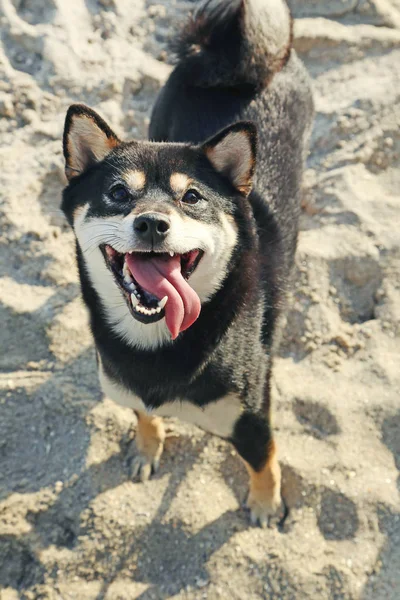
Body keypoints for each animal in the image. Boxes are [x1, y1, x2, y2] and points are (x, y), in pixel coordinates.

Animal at [61, 0, 314, 524]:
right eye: (118, 194)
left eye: (192, 198)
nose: (152, 224)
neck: (156, 343)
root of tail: (229, 62)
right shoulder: (130, 389)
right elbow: (143, 415)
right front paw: (147, 447)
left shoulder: (251, 419)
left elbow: (265, 461)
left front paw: (265, 504)